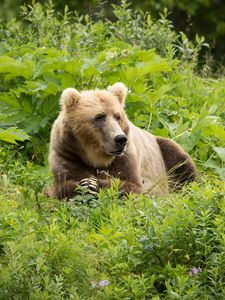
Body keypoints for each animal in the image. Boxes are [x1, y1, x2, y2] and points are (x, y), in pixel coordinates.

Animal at [46, 82, 196, 199]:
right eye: (99, 117)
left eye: (117, 116)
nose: (120, 139)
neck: (95, 157)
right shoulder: (68, 154)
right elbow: (62, 185)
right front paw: (84, 184)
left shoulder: (126, 156)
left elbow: (132, 186)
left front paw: (94, 183)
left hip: (164, 152)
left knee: (182, 164)